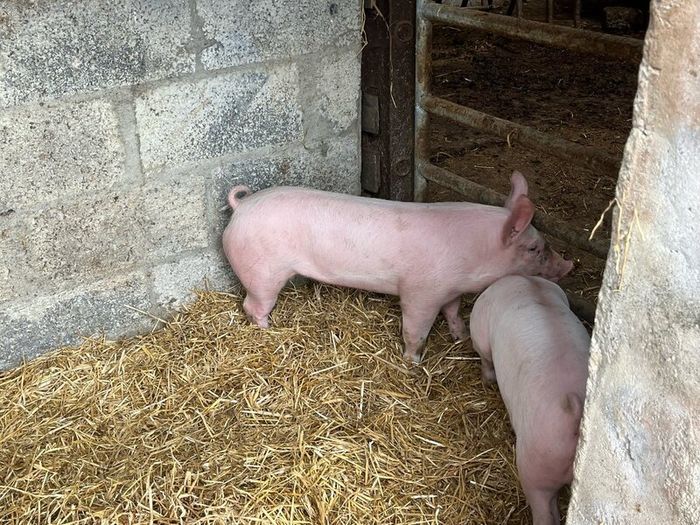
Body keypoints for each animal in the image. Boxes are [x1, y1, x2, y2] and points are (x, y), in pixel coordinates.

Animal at [222, 171, 573, 363]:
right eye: (534, 248)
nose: (568, 265)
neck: (475, 254)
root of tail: (241, 207)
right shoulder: (421, 292)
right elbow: (416, 329)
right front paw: (413, 361)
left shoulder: (450, 288)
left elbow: (453, 311)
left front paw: (460, 337)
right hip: (264, 274)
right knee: (252, 305)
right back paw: (269, 330)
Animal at [468, 275, 590, 525]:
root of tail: (575, 415)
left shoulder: (481, 332)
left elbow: (485, 358)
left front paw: (488, 381)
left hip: (535, 463)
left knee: (544, 512)